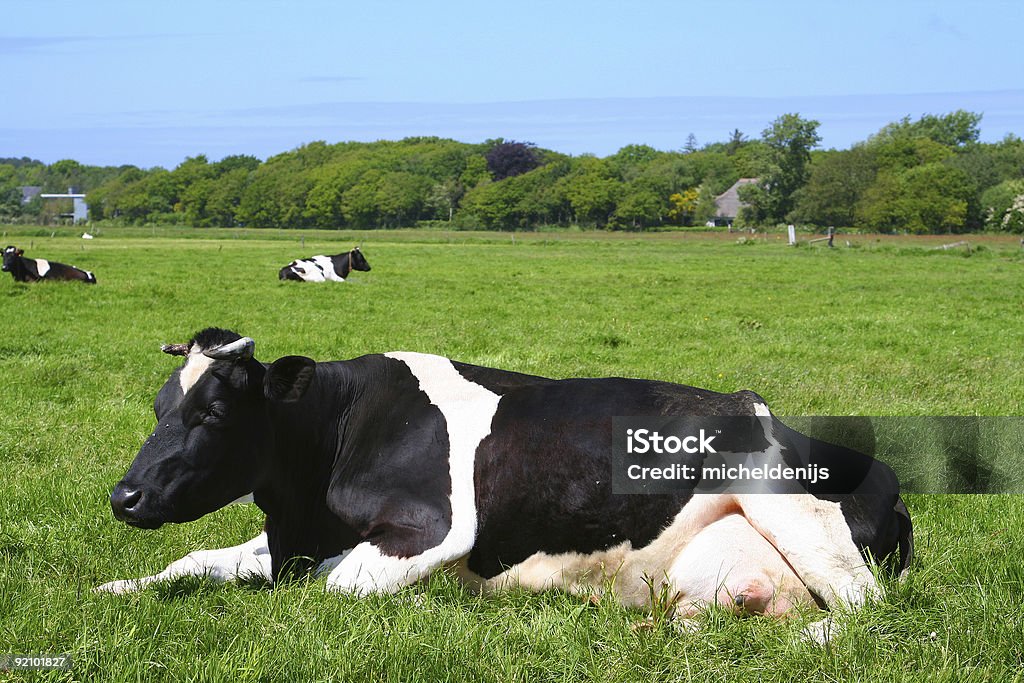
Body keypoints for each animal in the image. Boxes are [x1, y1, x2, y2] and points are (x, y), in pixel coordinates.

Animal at [97, 327, 913, 638]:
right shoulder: (290, 537)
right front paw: (118, 586)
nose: (124, 496)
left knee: (861, 612)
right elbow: (199, 559)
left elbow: (334, 584)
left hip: (795, 507)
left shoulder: (433, 527)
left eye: (212, 412)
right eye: (160, 405)